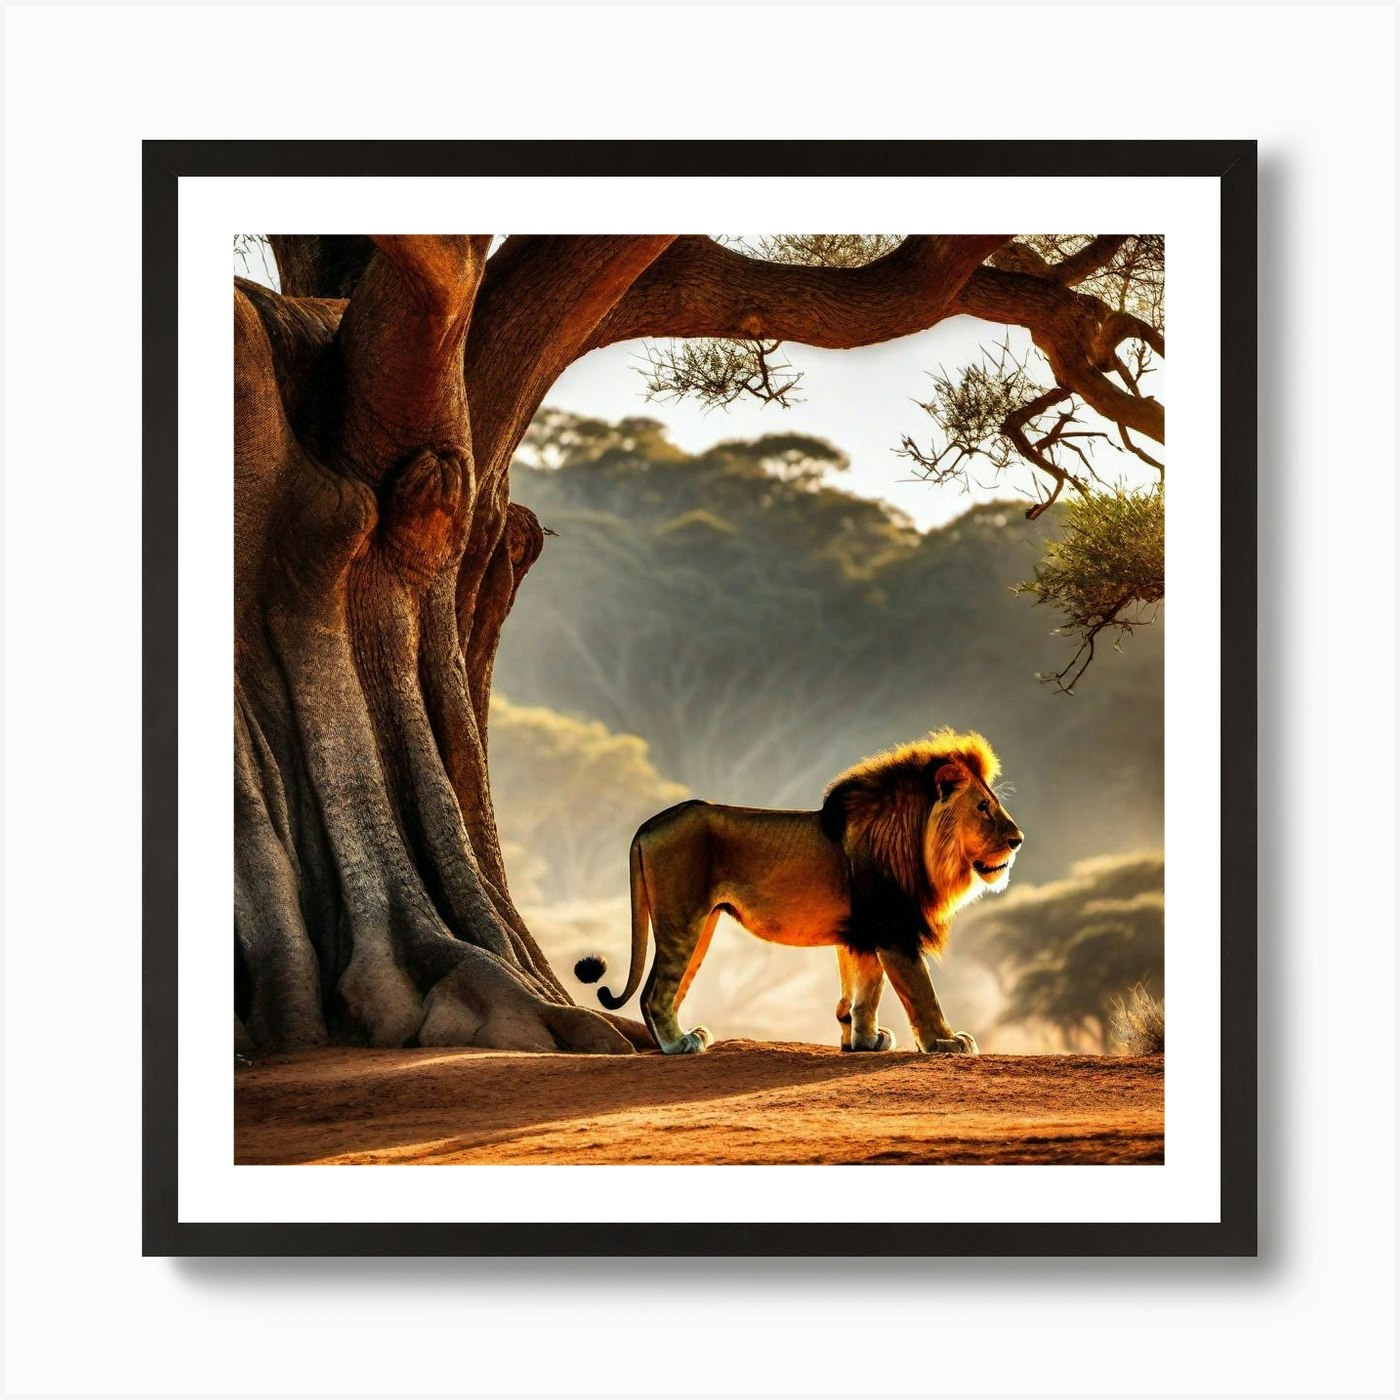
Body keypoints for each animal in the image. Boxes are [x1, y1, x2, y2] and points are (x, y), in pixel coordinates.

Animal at [577, 729, 1023, 1055]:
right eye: (983, 808)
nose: (1018, 840)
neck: (914, 838)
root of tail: (648, 824)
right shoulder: (892, 926)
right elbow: (919, 990)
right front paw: (946, 1041)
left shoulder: (862, 931)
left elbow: (866, 989)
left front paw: (864, 1040)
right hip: (682, 920)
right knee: (655, 992)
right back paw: (678, 1044)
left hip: (701, 926)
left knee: (660, 992)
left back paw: (687, 1038)